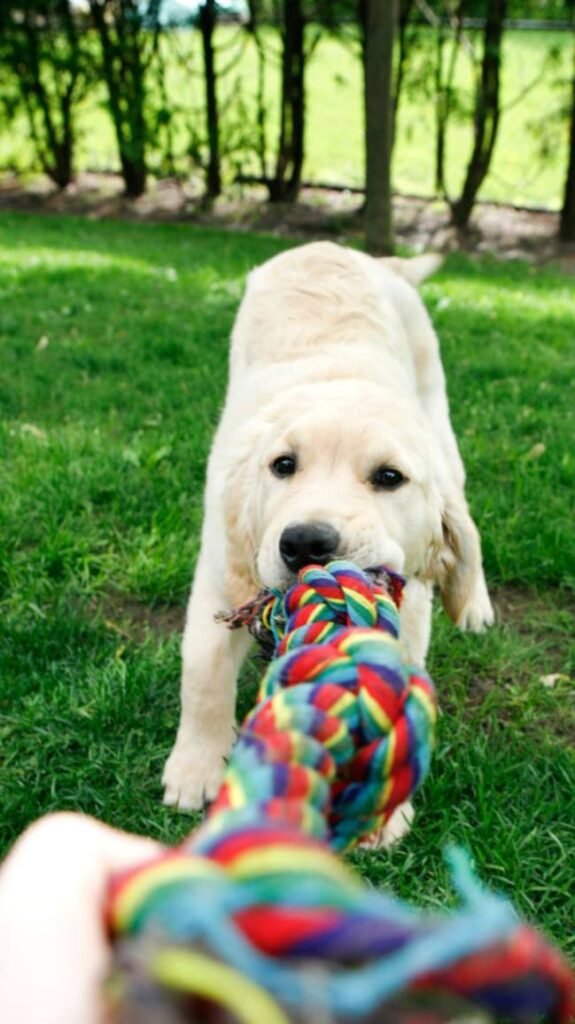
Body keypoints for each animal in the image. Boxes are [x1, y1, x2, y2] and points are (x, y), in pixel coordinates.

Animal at [162, 239, 493, 831]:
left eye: (389, 477)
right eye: (283, 465)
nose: (305, 544)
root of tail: (349, 251)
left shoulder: (408, 594)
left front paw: (384, 808)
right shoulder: (223, 572)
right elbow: (203, 673)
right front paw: (195, 768)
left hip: (441, 418)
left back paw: (475, 604)